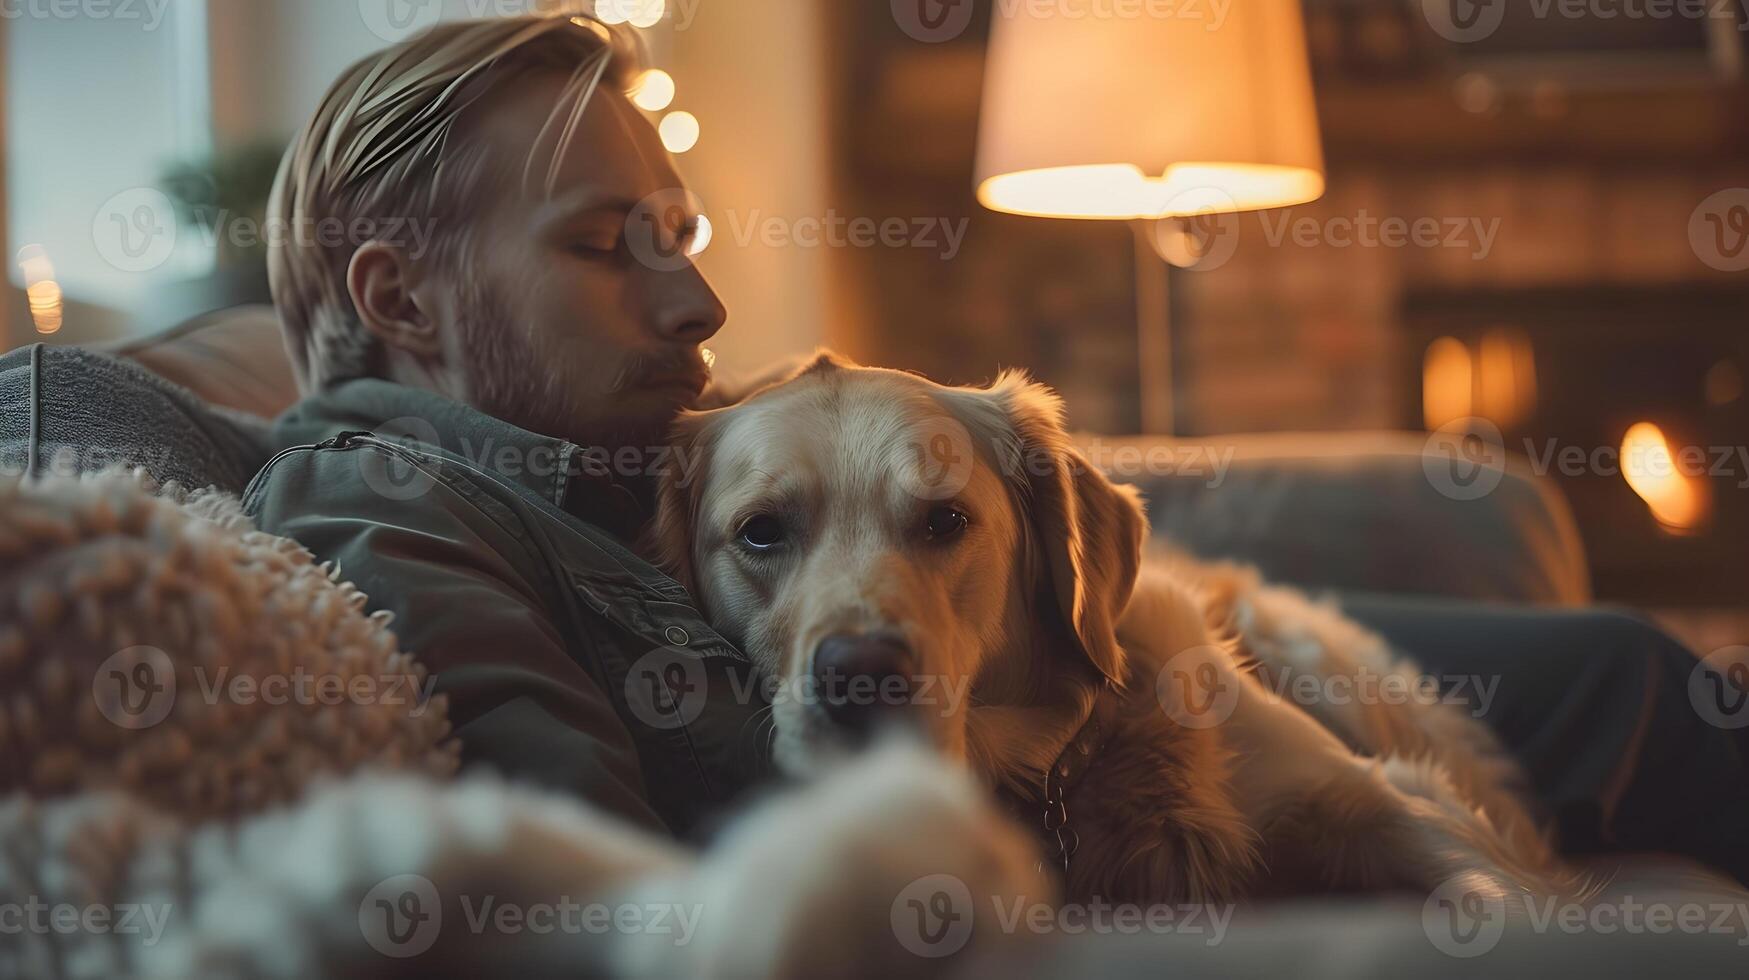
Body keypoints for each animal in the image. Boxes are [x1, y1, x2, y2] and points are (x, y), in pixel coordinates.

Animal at [654, 350, 1574, 903]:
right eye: (761, 532)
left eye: (945, 520)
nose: (858, 675)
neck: (1068, 766)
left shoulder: (1385, 799)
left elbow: (1497, 895)